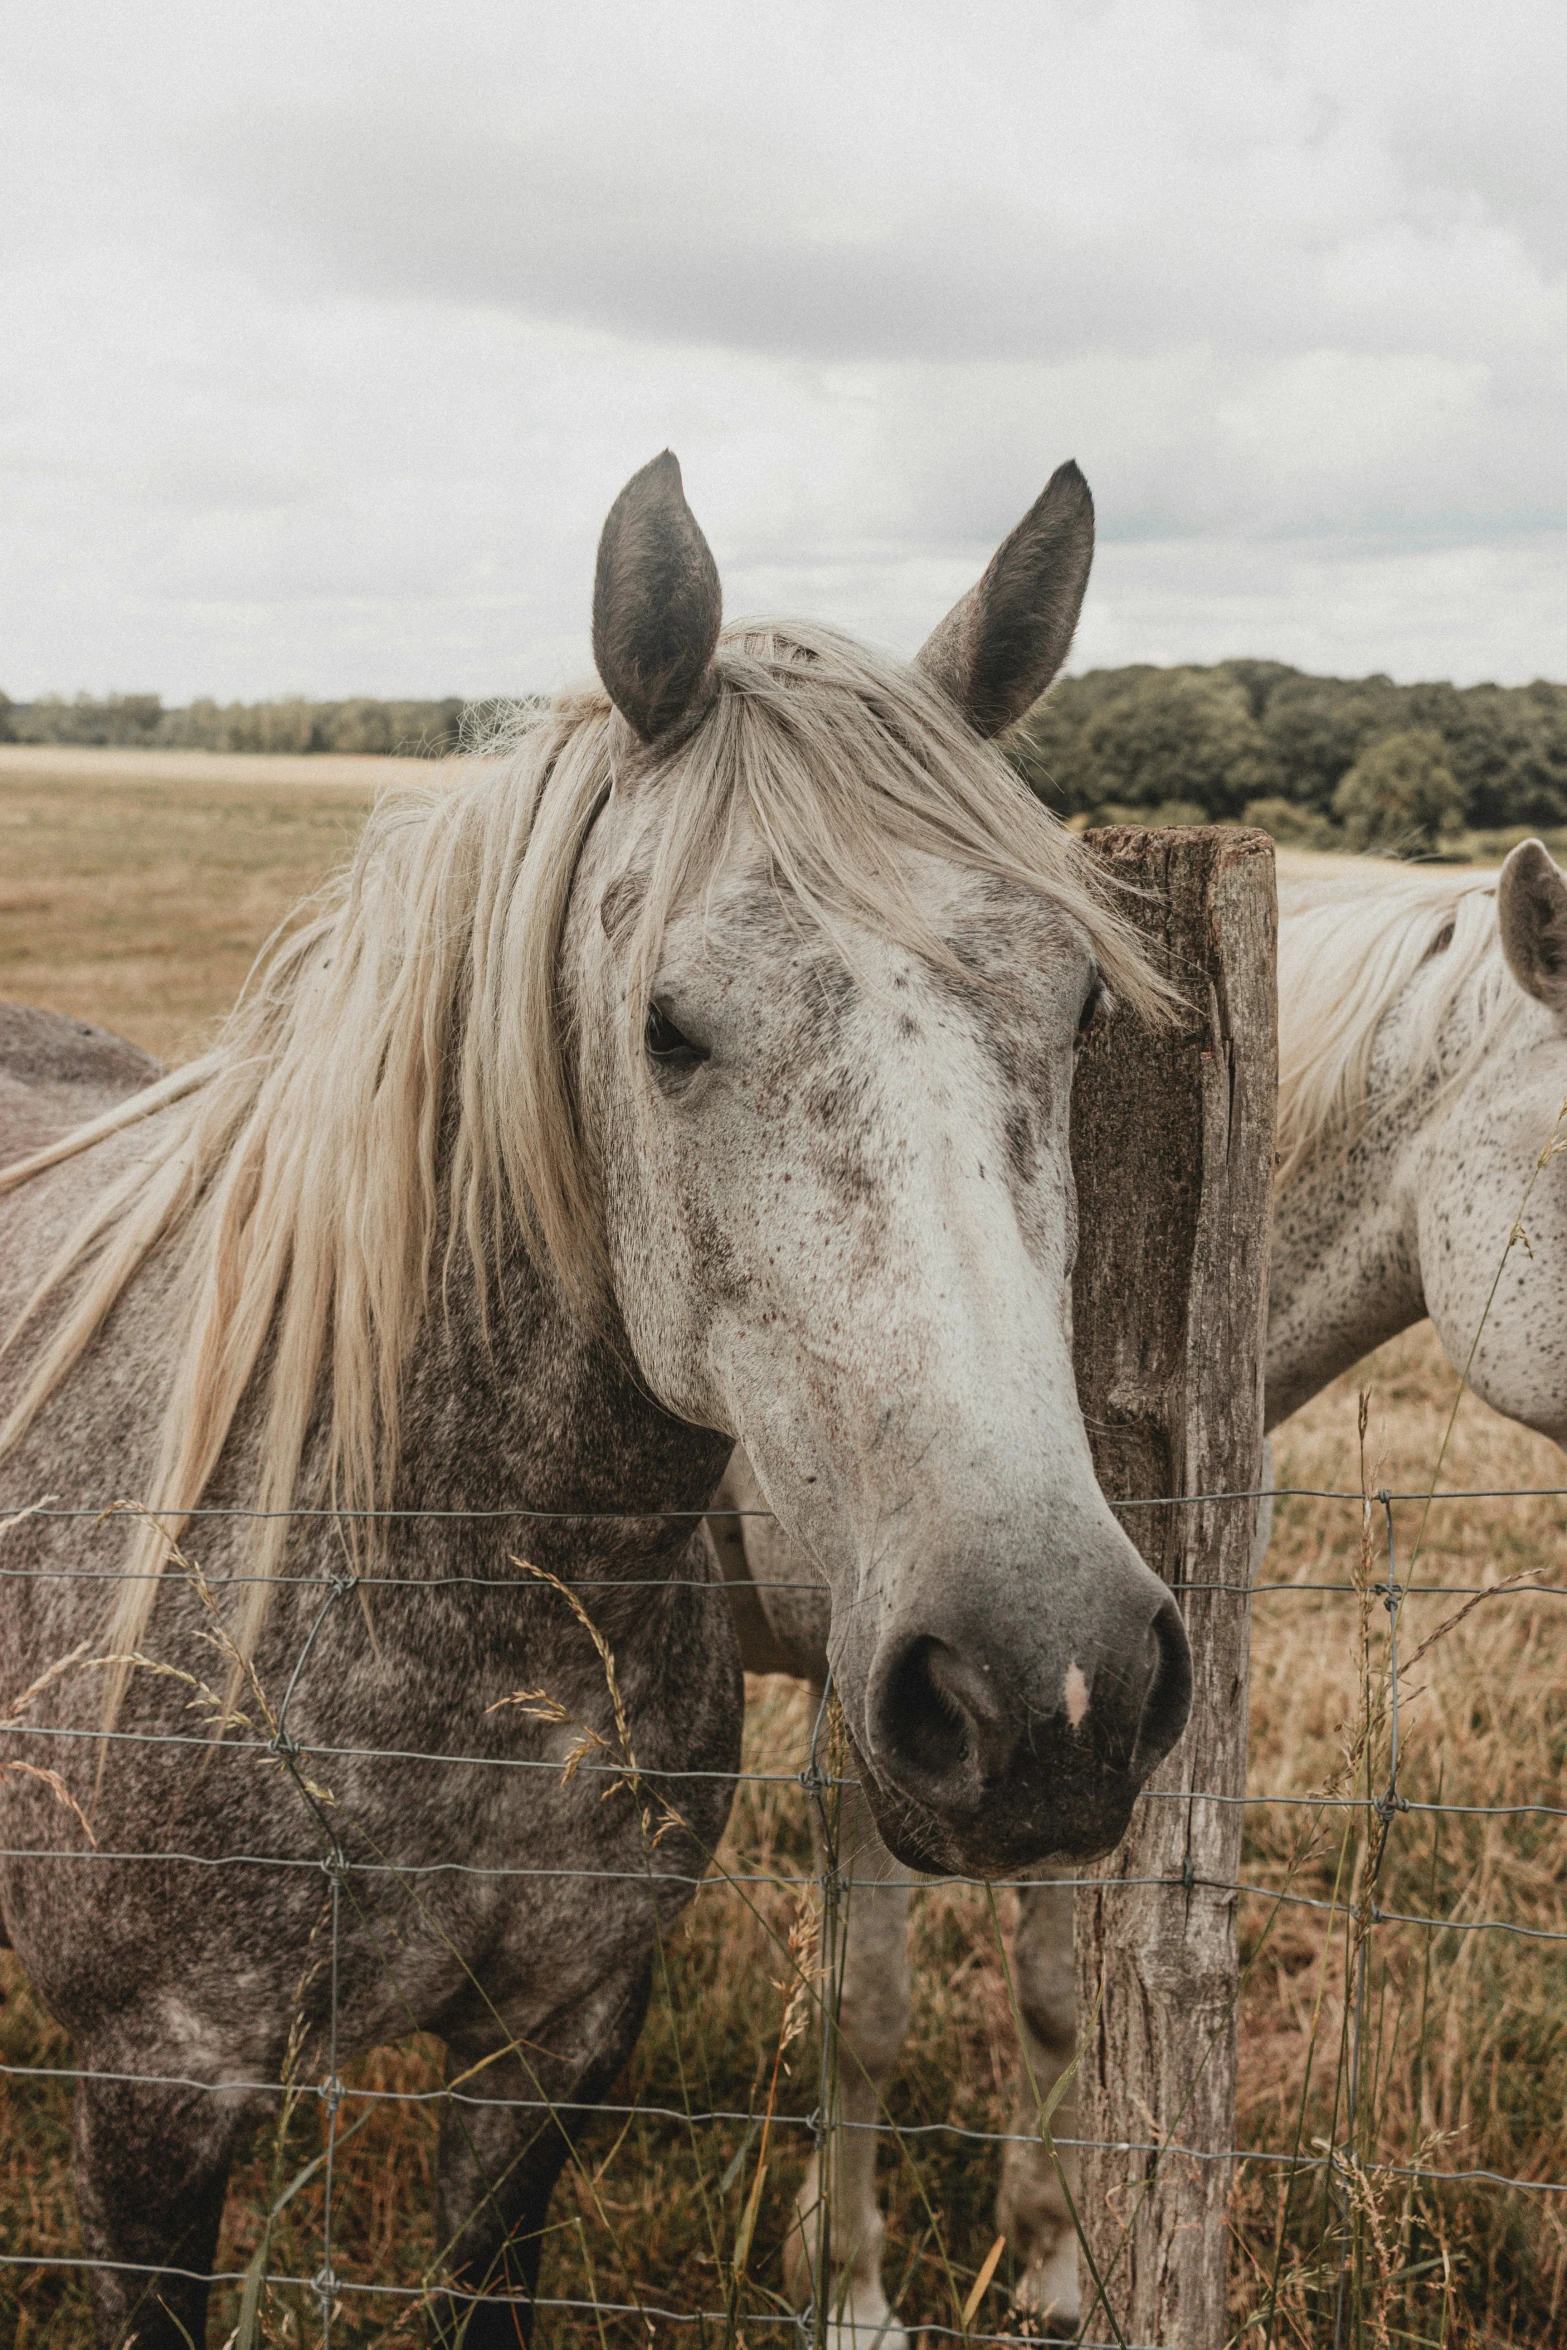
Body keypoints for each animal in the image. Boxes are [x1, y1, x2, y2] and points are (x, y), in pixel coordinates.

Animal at [723, 831, 1567, 2331]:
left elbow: (1062, 1993)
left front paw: (1053, 2262)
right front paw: (848, 2291)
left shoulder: (1085, 1711)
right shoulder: (872, 1719)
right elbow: (864, 2008)